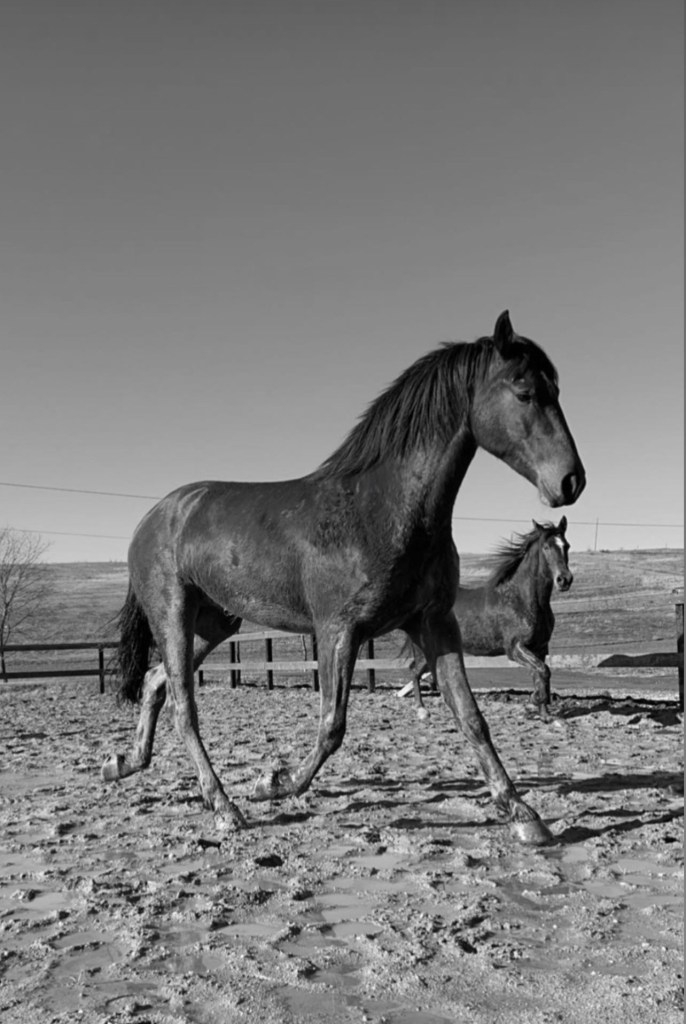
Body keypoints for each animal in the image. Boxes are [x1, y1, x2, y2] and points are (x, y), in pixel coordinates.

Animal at [404, 517, 572, 720]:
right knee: (414, 671)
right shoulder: (515, 648)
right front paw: (535, 699)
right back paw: (421, 709)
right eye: (546, 547)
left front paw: (545, 715)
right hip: (425, 650)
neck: (521, 599)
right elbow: (543, 671)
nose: (564, 580)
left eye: (567, 546)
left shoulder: (540, 648)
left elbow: (541, 674)